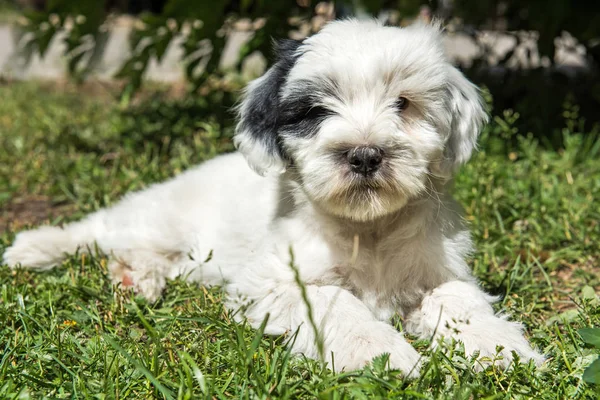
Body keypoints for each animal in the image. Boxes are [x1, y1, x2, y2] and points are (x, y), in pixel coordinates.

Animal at [2, 18, 544, 376]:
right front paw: (382, 353)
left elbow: (457, 301)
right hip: (162, 216)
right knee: (99, 230)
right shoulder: (275, 282)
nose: (364, 155)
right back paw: (36, 247)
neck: (366, 229)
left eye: (404, 104)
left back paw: (136, 278)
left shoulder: (438, 271)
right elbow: (334, 302)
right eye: (316, 111)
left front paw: (503, 349)